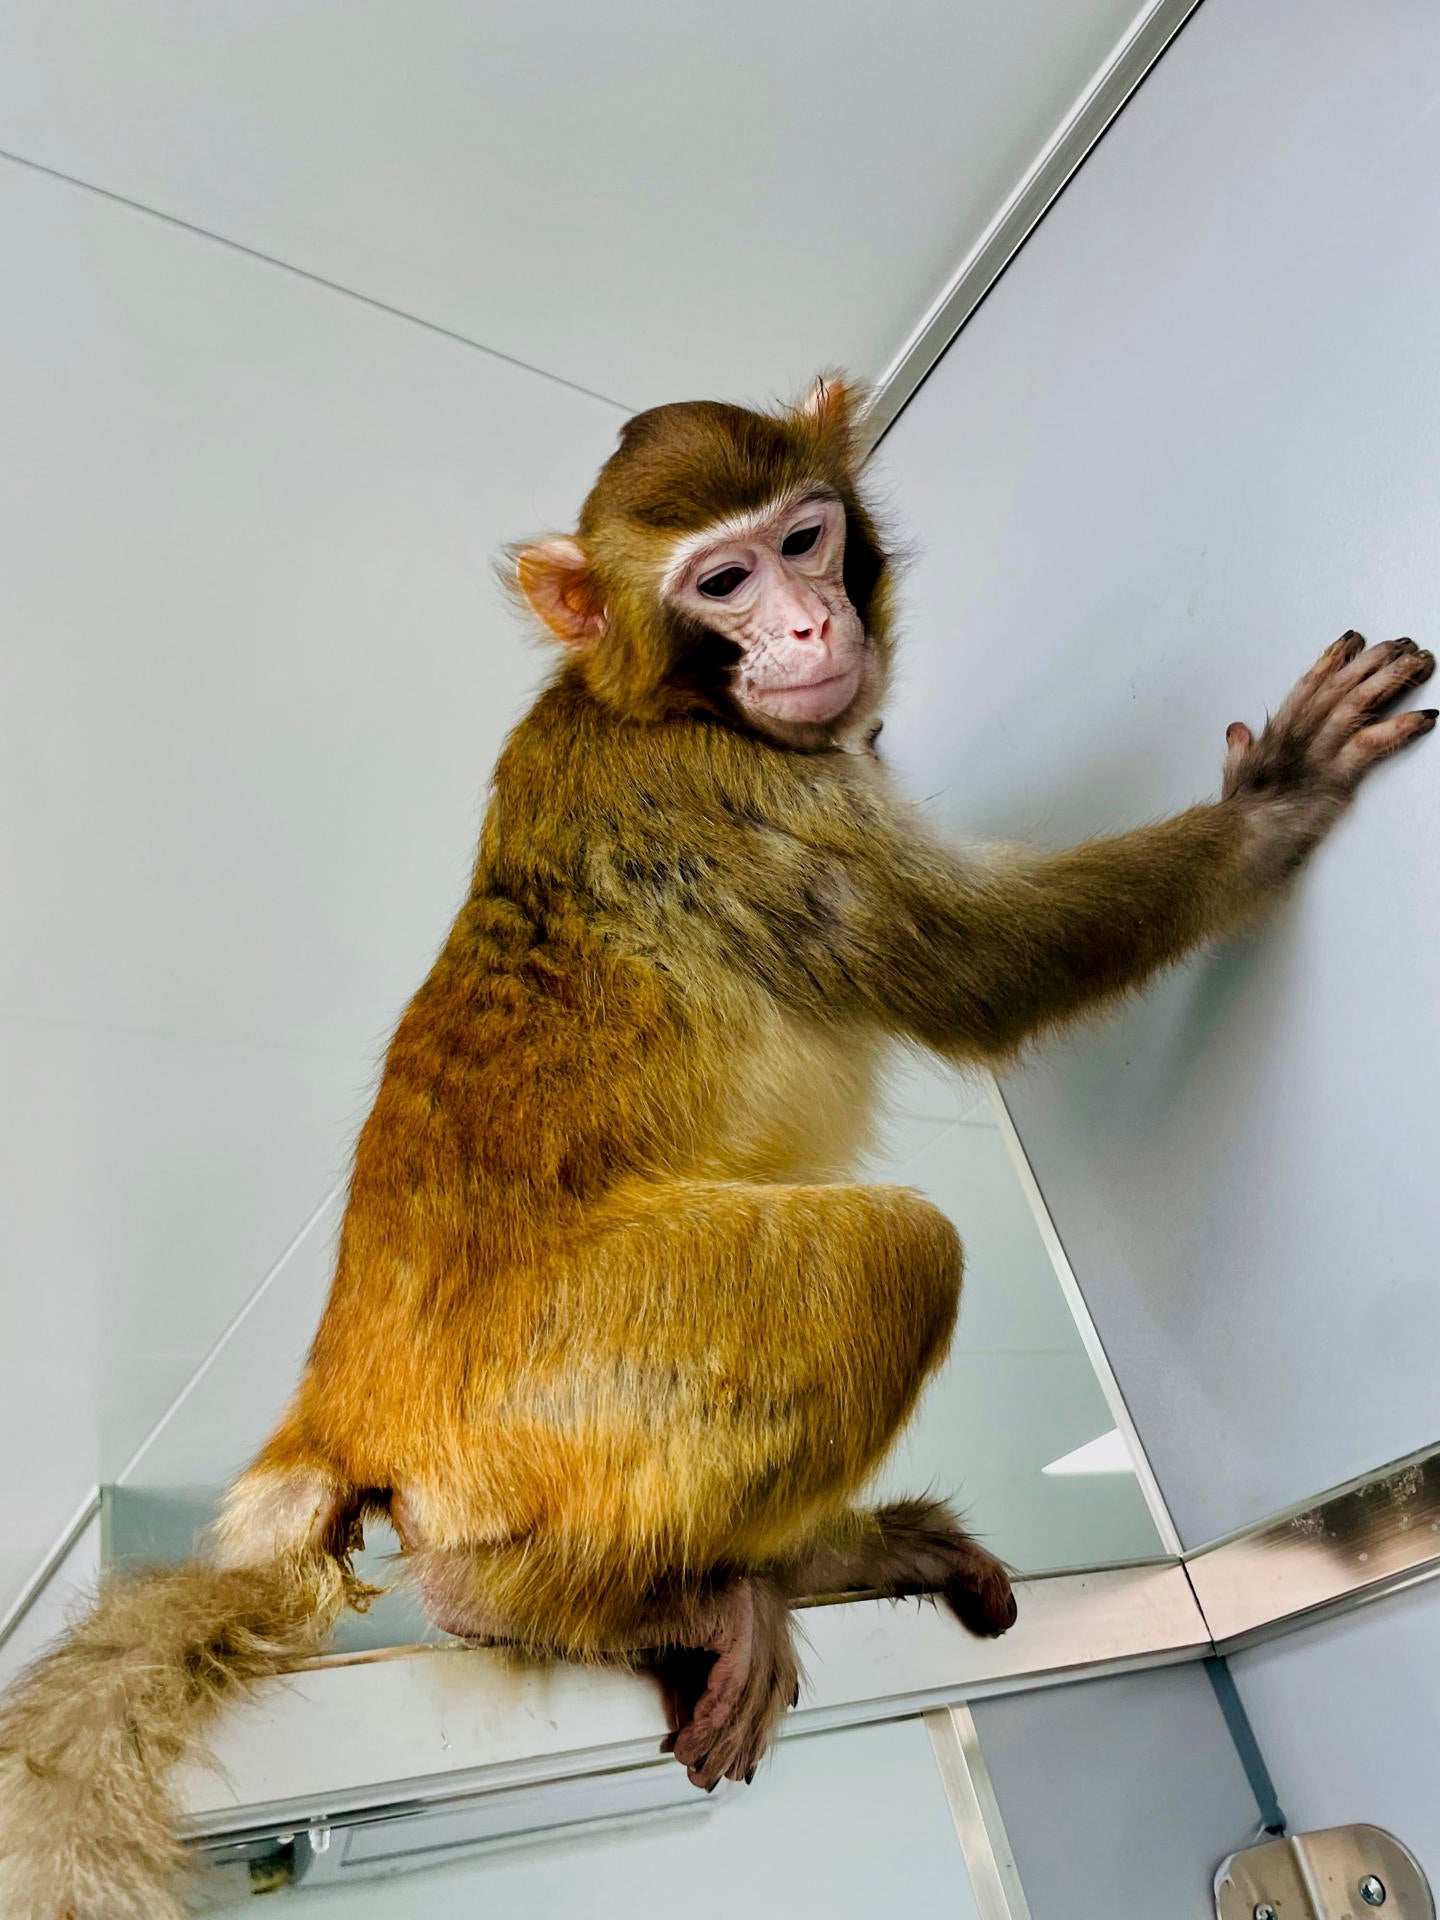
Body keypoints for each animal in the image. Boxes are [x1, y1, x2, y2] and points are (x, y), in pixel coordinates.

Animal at [0, 375, 1433, 1920]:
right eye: (723, 583)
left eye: (804, 540)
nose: (806, 627)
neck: (652, 700)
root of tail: (342, 1408)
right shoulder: (727, 794)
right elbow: (987, 973)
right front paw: (1272, 810)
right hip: (557, 1382)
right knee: (895, 1253)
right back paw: (553, 1599)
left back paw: (810, 1556)